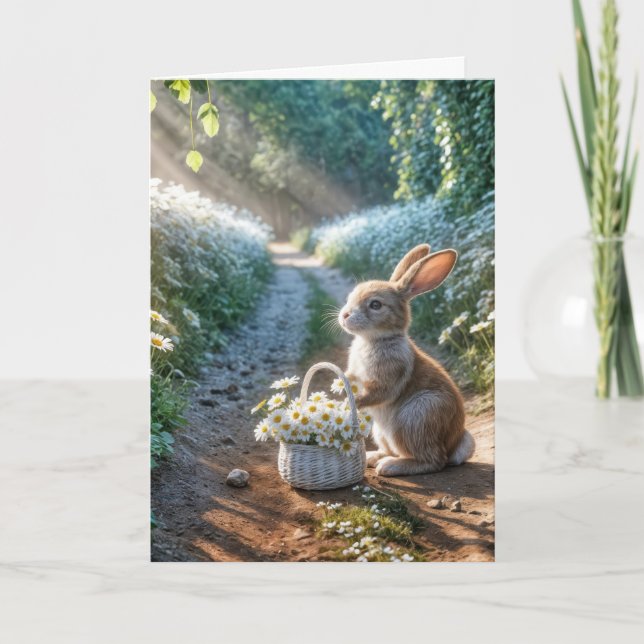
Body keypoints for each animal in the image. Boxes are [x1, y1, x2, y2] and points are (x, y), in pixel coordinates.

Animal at [339, 243, 475, 477]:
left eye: (376, 305)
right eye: (350, 297)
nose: (345, 315)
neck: (376, 339)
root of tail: (454, 444)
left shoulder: (387, 379)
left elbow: (375, 394)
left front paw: (347, 403)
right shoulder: (356, 373)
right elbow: (349, 376)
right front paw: (337, 388)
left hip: (416, 417)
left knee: (433, 461)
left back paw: (389, 467)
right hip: (382, 432)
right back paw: (374, 458)